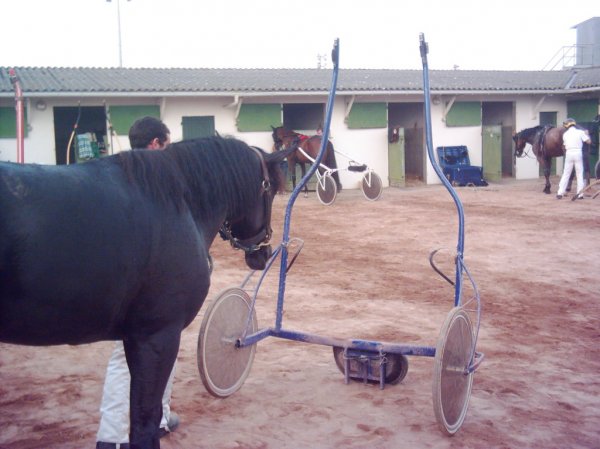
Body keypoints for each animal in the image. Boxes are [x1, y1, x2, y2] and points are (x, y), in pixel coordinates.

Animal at [0, 136, 290, 448]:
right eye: (271, 190)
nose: (264, 254)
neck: (179, 203)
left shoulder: (134, 337)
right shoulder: (157, 336)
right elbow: (144, 422)